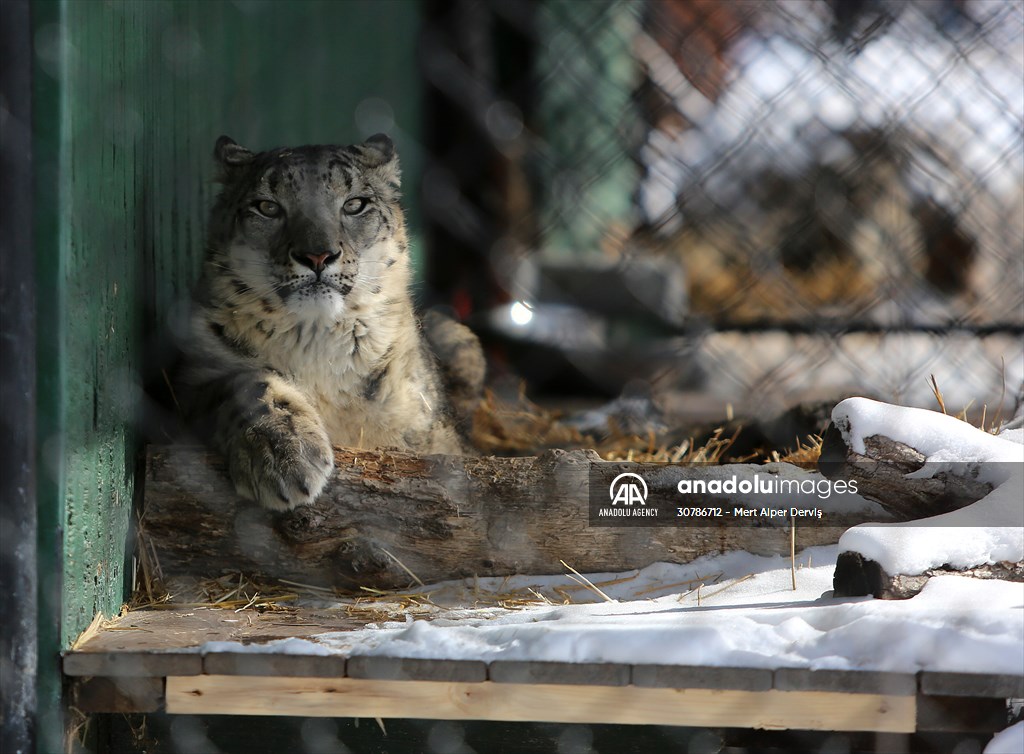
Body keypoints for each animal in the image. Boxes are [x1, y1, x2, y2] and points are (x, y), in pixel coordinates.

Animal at [181, 135, 479, 512]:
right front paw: (285, 457)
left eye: (355, 204)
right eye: (267, 207)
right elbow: (250, 384)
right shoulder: (189, 376)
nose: (317, 255)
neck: (317, 346)